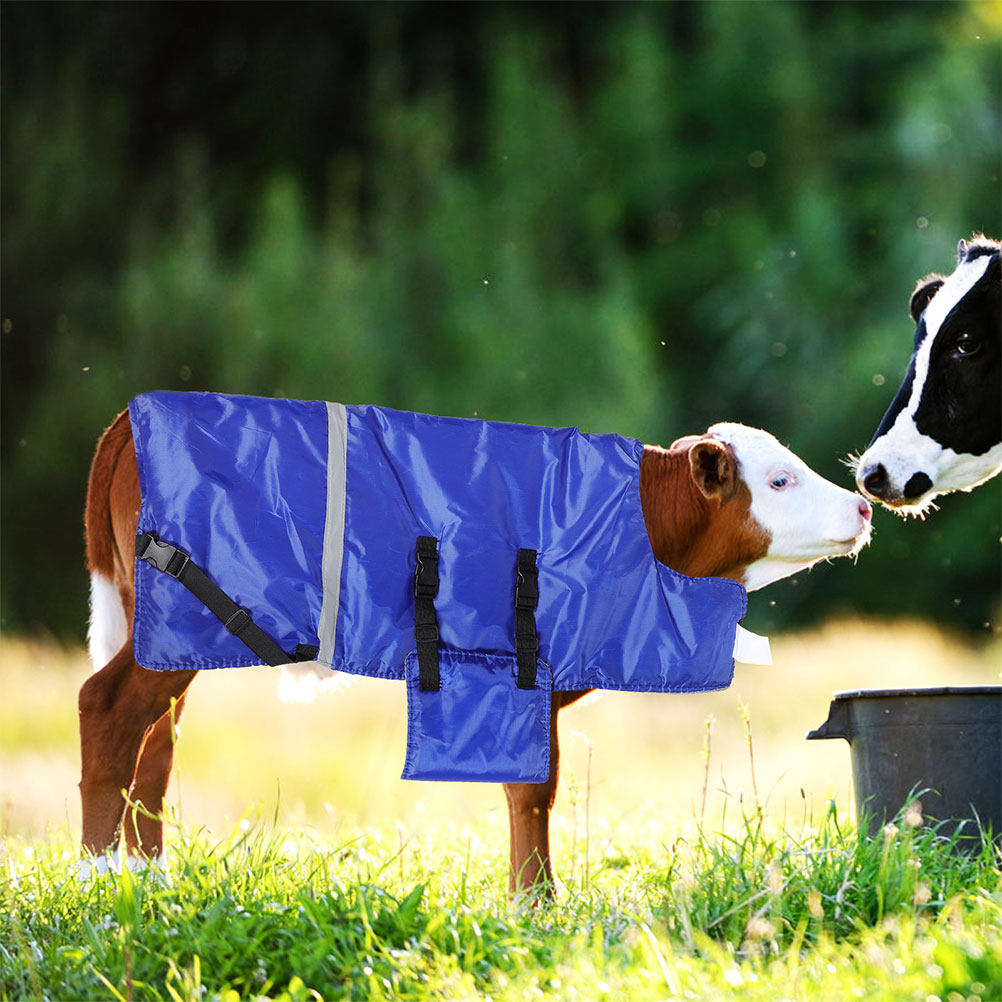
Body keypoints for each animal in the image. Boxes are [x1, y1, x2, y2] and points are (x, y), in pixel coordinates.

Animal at [79, 402, 872, 892]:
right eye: (779, 479)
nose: (864, 503)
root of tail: (129, 418)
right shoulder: (523, 672)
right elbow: (533, 787)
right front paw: (536, 904)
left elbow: (534, 786)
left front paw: (532, 901)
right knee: (108, 705)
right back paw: (100, 882)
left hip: (172, 634)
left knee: (156, 736)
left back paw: (146, 878)